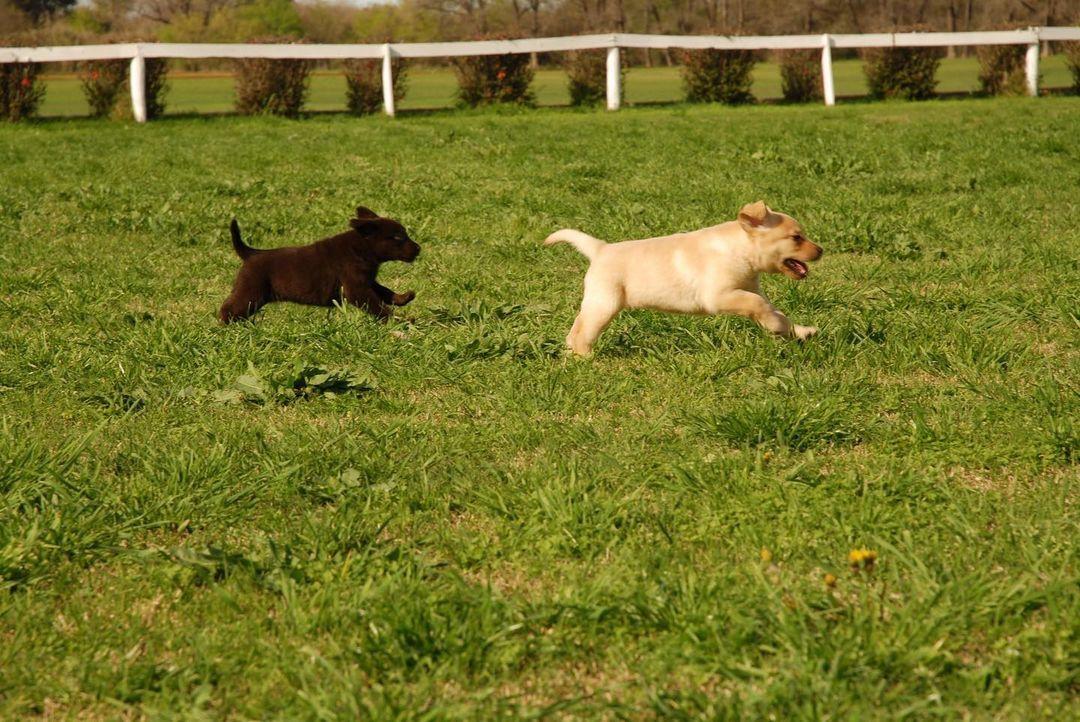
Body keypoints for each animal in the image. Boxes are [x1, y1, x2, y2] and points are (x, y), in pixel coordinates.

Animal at [219, 206, 420, 323]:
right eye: (399, 238)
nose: (419, 248)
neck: (362, 247)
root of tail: (252, 253)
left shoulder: (367, 282)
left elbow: (385, 291)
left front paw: (403, 298)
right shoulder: (356, 289)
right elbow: (379, 306)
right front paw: (398, 321)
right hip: (250, 292)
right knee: (228, 309)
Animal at [545, 201, 823, 355]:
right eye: (796, 238)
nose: (821, 250)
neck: (739, 249)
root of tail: (600, 248)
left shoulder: (751, 290)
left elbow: (775, 310)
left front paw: (800, 331)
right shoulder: (718, 296)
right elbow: (760, 306)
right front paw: (776, 327)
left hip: (597, 303)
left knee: (575, 328)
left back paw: (571, 356)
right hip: (605, 304)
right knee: (583, 332)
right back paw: (585, 357)